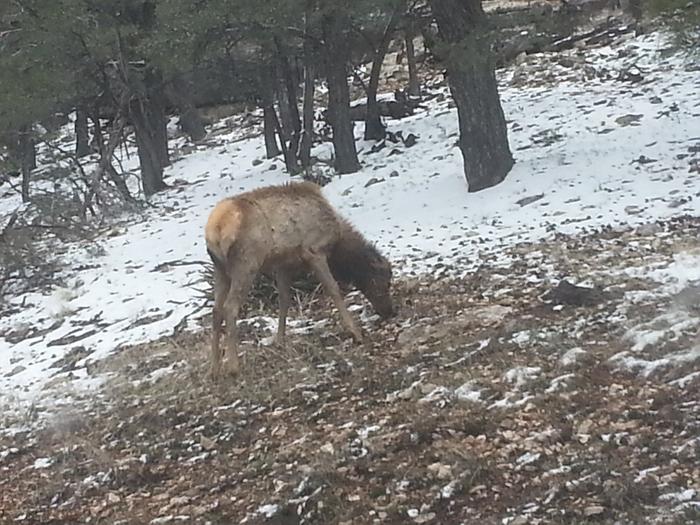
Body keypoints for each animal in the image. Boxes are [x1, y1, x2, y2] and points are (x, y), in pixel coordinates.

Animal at [205, 182, 396, 378]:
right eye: (382, 281)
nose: (390, 311)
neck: (337, 242)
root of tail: (215, 228)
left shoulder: (283, 264)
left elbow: (284, 300)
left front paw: (280, 341)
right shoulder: (314, 250)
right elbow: (333, 289)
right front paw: (356, 333)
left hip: (220, 268)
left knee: (216, 310)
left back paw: (214, 369)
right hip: (246, 263)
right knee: (230, 307)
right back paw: (233, 367)